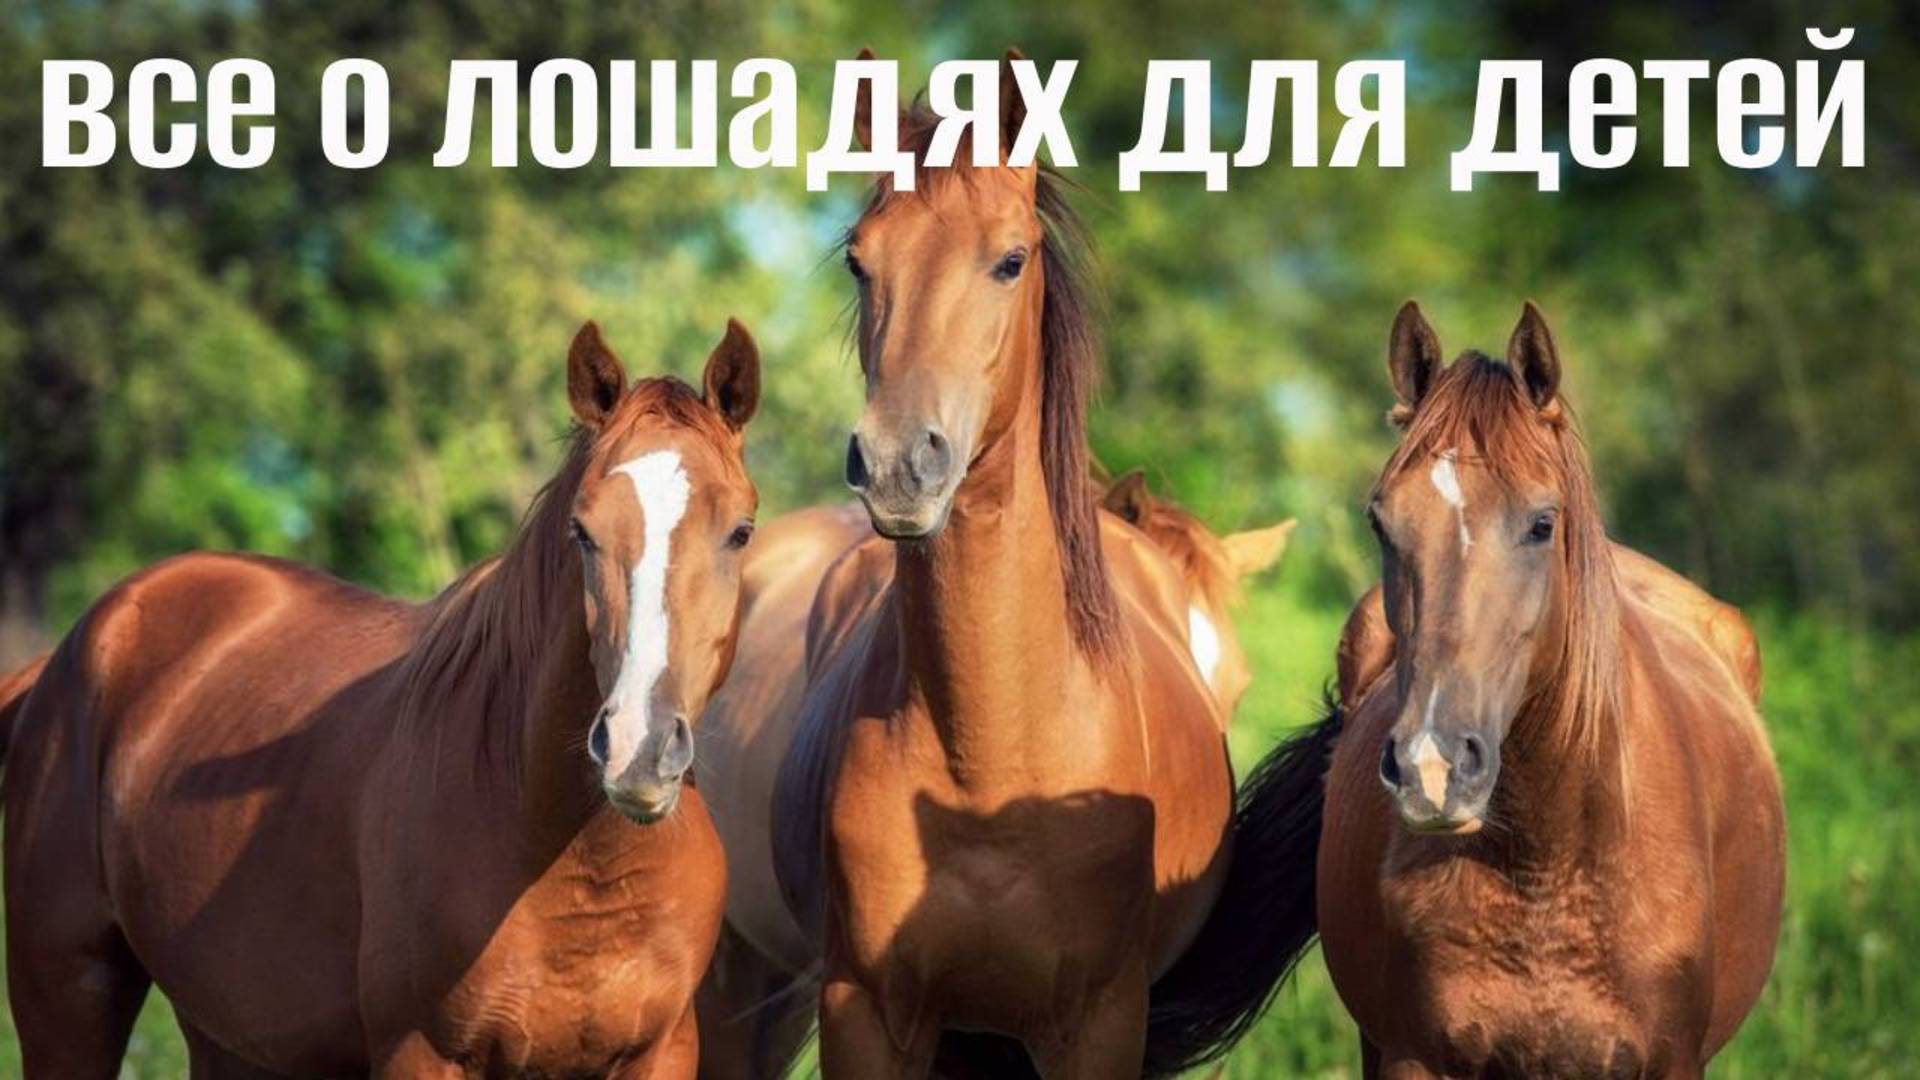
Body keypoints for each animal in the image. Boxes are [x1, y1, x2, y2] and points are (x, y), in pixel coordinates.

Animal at [4, 318, 764, 1077]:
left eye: (741, 531)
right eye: (582, 530)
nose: (639, 750)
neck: (576, 863)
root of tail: (79, 647)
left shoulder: (662, 1052)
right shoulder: (419, 1052)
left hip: (230, 1037)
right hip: (68, 998)